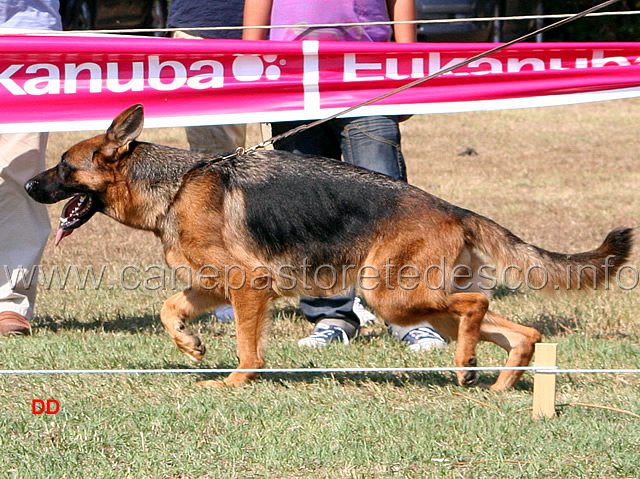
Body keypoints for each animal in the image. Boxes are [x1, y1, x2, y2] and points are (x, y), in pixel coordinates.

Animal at [26, 105, 636, 390]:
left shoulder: (249, 287)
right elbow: (167, 308)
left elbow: (248, 349)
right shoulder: (209, 287)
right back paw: (497, 380)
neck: (175, 184)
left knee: (477, 305)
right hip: (421, 302)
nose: (30, 186)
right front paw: (191, 346)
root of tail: (451, 208)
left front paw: (236, 382)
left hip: (392, 297)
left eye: (64, 167)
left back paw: (467, 363)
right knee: (519, 330)